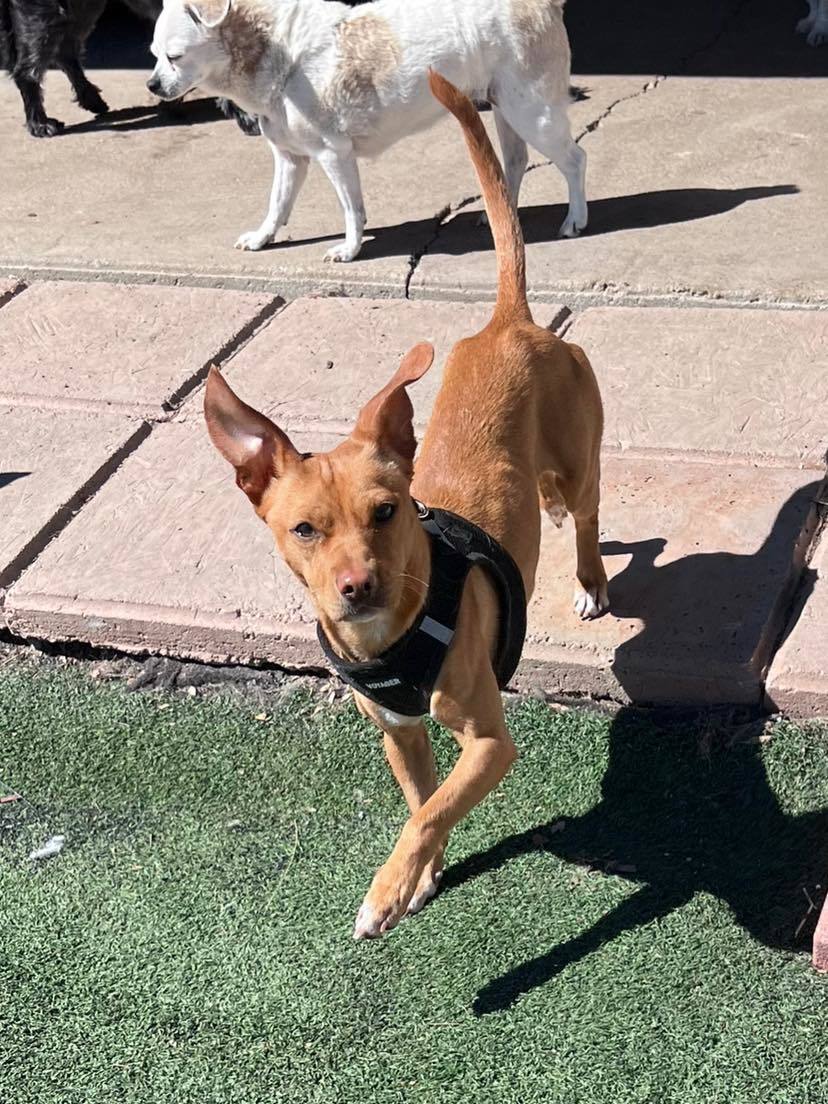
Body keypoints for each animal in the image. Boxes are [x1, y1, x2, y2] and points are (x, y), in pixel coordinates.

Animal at [149, 0, 591, 261]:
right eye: (154, 56)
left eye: (175, 57)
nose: (151, 85)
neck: (271, 50)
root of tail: (540, 3)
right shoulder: (290, 158)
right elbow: (277, 204)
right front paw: (262, 238)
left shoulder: (334, 154)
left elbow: (351, 209)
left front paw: (349, 248)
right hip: (508, 108)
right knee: (515, 161)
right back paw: (502, 213)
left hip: (532, 112)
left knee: (574, 159)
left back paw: (575, 220)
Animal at [204, 69, 609, 936]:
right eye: (304, 529)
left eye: (387, 512)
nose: (357, 586)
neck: (392, 637)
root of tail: (510, 322)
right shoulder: (399, 734)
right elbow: (423, 800)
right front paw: (421, 877)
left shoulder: (491, 744)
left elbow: (428, 812)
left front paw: (389, 888)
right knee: (558, 505)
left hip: (580, 458)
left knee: (590, 514)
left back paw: (592, 579)